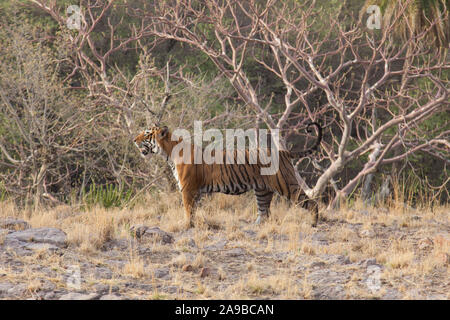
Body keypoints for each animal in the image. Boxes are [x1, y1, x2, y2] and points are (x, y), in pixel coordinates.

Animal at [134, 122, 324, 228]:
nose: (134, 140)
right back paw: (255, 227)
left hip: (286, 185)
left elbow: (188, 210)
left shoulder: (188, 189)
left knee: (311, 202)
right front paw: (192, 224)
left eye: (146, 133)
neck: (168, 152)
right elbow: (193, 210)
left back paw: (313, 224)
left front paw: (187, 225)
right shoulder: (195, 191)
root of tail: (283, 152)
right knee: (264, 213)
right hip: (262, 190)